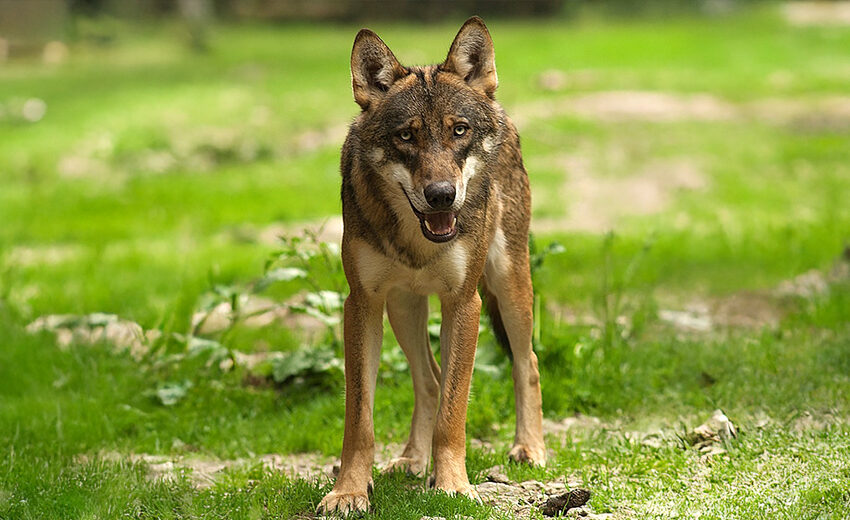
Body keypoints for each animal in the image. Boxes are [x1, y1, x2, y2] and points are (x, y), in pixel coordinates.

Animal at [316, 17, 545, 515]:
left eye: (458, 130)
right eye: (406, 136)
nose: (442, 195)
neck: (417, 240)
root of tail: (500, 109)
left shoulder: (465, 303)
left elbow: (454, 412)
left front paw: (454, 485)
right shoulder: (361, 304)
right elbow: (359, 419)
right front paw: (349, 490)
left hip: (510, 286)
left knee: (528, 362)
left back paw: (529, 448)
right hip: (404, 309)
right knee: (429, 380)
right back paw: (411, 460)